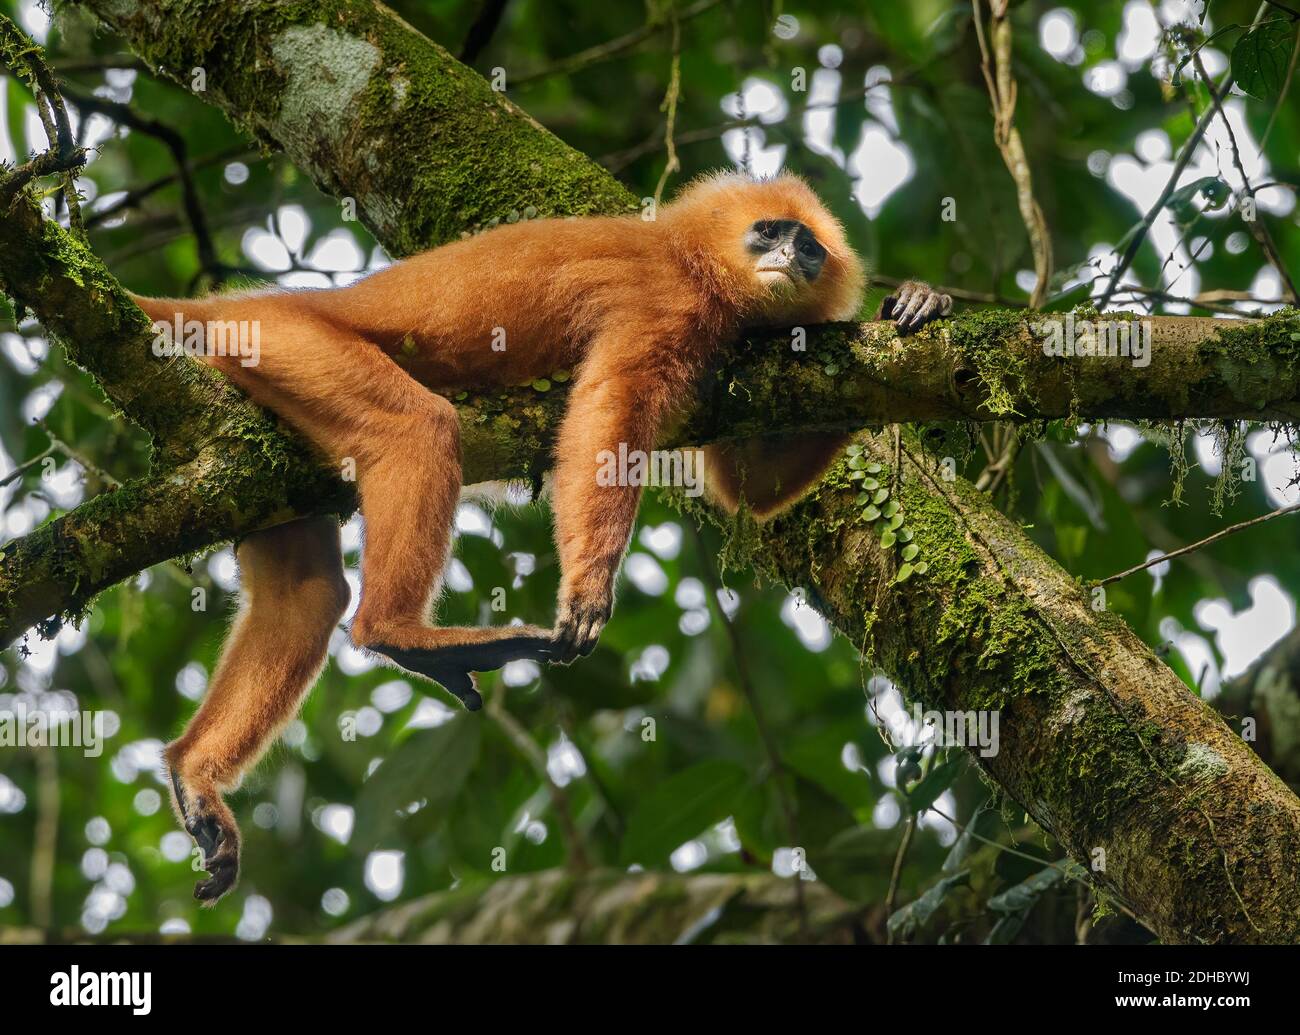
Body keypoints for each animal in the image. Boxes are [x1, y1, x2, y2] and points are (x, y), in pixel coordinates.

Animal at [128, 171, 952, 902]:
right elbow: (603, 418)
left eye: (810, 246)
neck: (691, 259)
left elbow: (746, 489)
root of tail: (259, 303)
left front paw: (918, 298)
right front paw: (587, 592)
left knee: (306, 594)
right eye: (770, 233)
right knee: (418, 432)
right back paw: (397, 632)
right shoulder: (665, 301)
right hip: (284, 341)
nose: (792, 258)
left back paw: (196, 770)